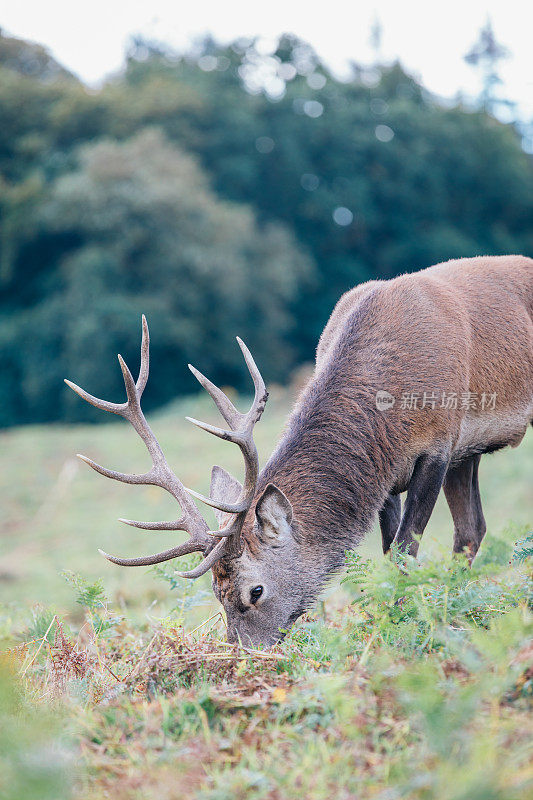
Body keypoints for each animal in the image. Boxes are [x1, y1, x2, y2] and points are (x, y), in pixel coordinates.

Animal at [67, 255, 532, 644]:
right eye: (216, 594)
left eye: (255, 591)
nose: (243, 654)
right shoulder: (387, 470)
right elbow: (388, 549)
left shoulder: (438, 445)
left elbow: (404, 552)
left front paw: (397, 623)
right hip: (468, 453)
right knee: (472, 529)